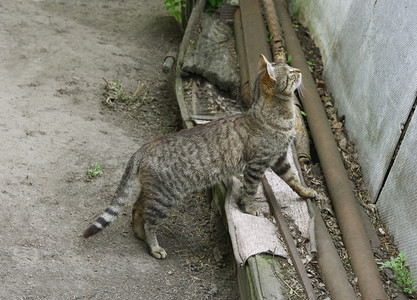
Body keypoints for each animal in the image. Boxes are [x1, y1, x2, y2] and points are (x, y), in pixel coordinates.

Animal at [83, 55, 316, 258]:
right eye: (290, 73)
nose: (299, 70)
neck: (281, 116)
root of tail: (145, 147)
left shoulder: (280, 158)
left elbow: (293, 179)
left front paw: (306, 192)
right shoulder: (257, 165)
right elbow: (251, 191)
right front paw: (249, 209)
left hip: (155, 191)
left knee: (136, 206)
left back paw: (140, 235)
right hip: (166, 196)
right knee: (149, 219)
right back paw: (154, 247)